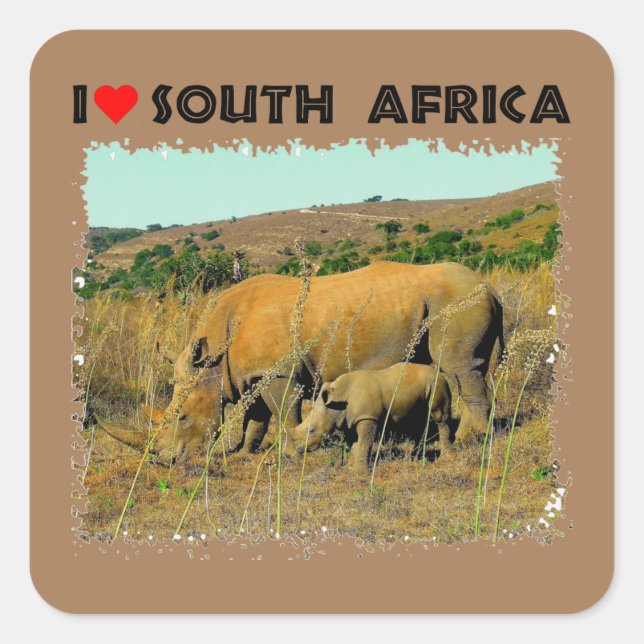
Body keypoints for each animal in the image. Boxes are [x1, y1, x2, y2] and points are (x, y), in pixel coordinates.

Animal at [291, 363, 452, 475]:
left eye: (312, 430)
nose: (296, 449)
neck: (337, 401)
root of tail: (440, 373)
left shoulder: (367, 417)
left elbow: (364, 443)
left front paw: (360, 474)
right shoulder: (351, 419)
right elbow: (355, 444)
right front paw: (350, 468)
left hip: (437, 383)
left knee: (439, 417)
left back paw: (445, 458)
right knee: (419, 419)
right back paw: (415, 457)